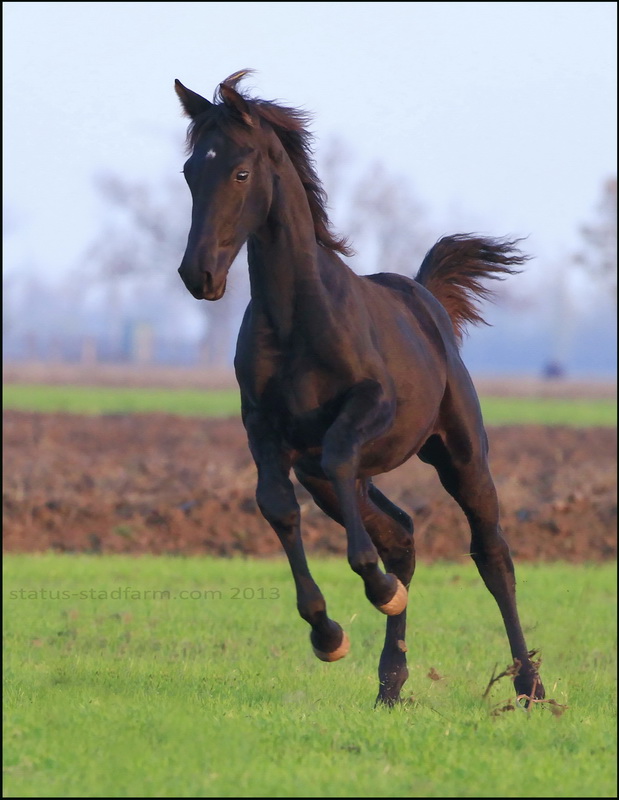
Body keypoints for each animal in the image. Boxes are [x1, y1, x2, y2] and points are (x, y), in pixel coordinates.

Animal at [172, 70, 544, 708]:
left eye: (240, 172)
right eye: (191, 171)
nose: (199, 275)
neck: (297, 319)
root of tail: (424, 297)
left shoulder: (371, 407)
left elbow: (341, 454)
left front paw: (377, 588)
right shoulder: (262, 427)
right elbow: (276, 504)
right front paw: (328, 633)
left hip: (461, 454)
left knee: (491, 553)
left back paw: (529, 684)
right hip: (331, 480)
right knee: (401, 534)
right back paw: (390, 681)